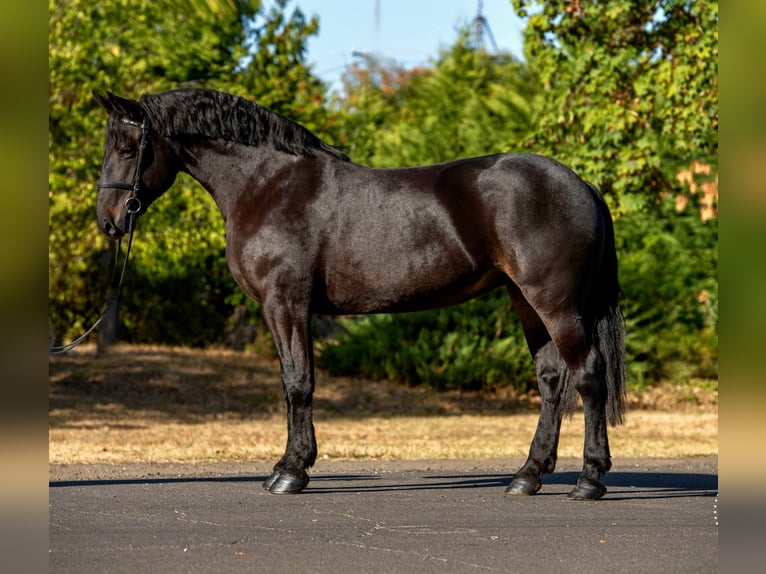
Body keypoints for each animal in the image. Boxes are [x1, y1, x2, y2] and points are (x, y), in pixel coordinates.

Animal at [93, 88, 626, 500]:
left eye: (128, 148)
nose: (109, 221)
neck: (269, 185)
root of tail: (581, 183)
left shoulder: (286, 304)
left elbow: (298, 384)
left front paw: (290, 472)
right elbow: (294, 383)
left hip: (556, 305)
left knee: (588, 376)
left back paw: (589, 479)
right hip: (526, 301)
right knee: (552, 380)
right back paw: (527, 476)